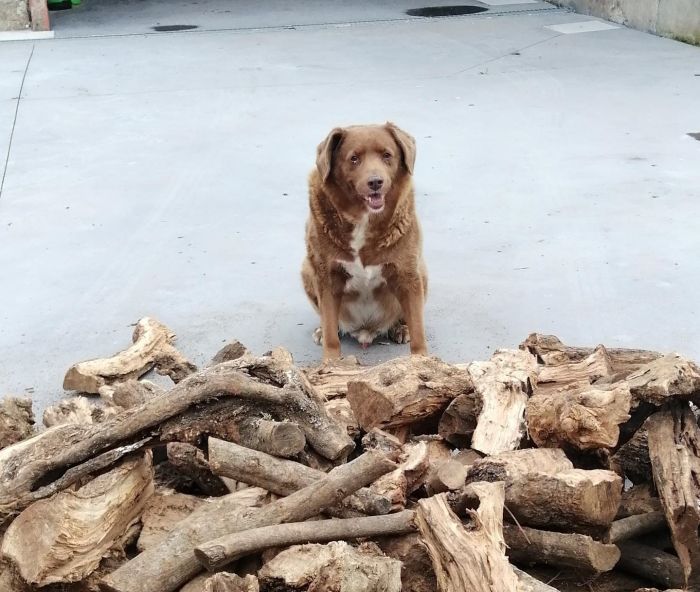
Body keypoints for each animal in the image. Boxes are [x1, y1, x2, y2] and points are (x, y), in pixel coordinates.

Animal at [300, 122, 426, 358]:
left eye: (387, 155)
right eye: (354, 158)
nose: (375, 182)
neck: (363, 219)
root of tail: (365, 330)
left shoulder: (407, 274)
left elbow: (418, 331)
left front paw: (422, 360)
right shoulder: (327, 276)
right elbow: (331, 332)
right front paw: (331, 361)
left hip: (422, 272)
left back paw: (400, 328)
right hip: (307, 269)